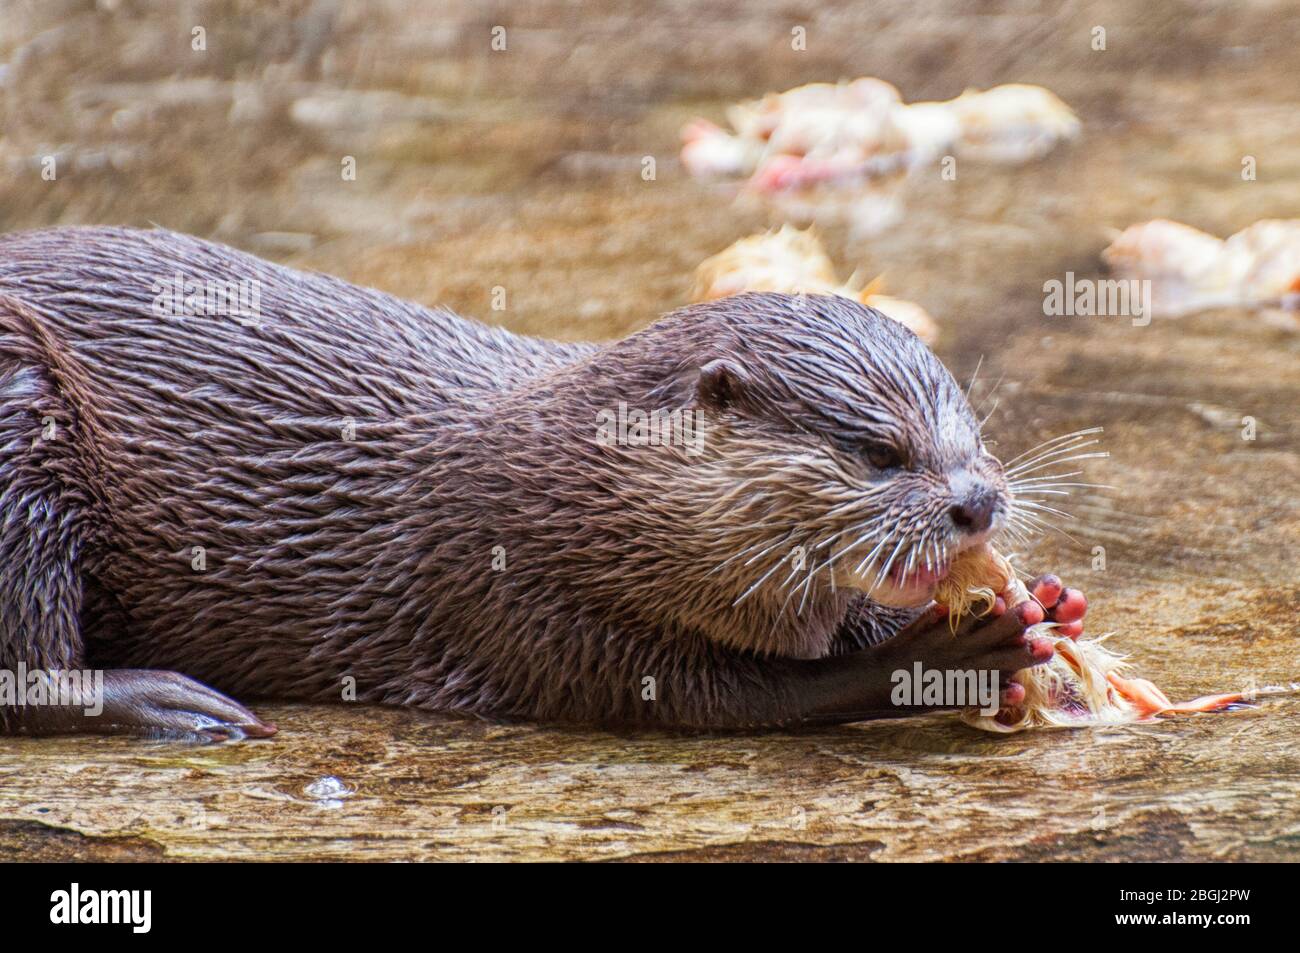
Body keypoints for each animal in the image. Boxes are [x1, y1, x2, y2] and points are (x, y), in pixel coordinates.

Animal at [0, 226, 1076, 738]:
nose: (978, 501)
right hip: (21, 418)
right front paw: (959, 648)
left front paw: (1049, 605)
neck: (573, 488)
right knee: (26, 668)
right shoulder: (523, 594)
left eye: (973, 433)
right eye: (878, 451)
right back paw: (174, 703)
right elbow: (744, 696)